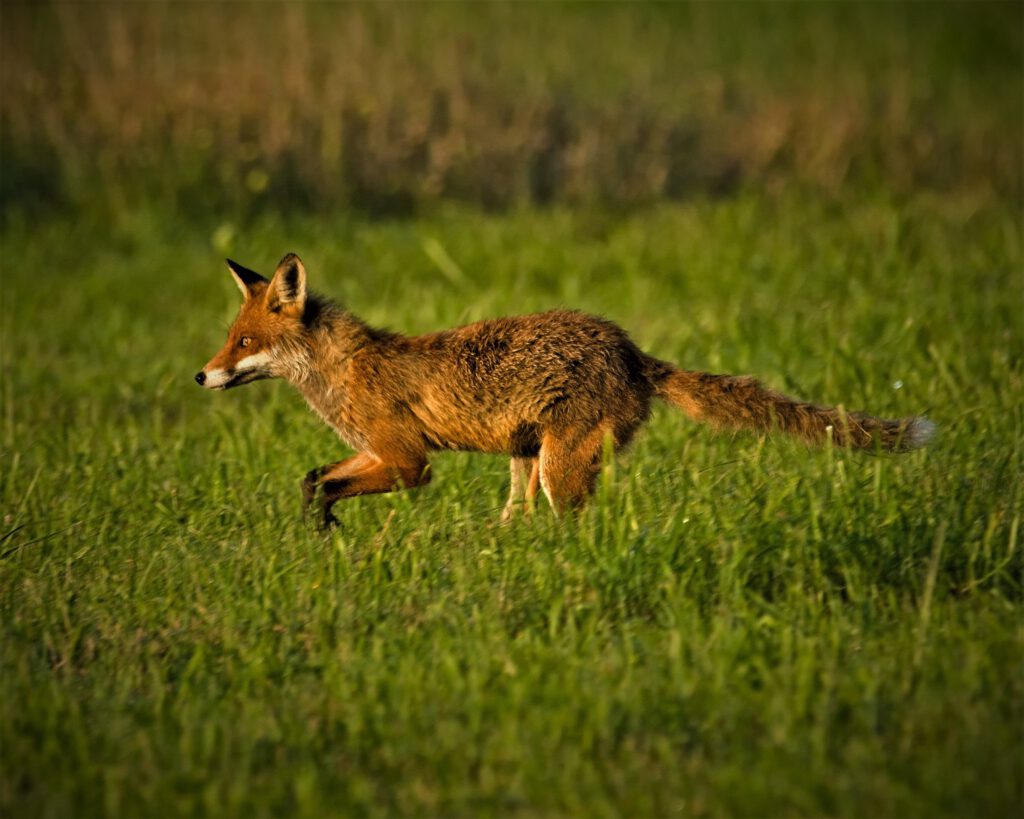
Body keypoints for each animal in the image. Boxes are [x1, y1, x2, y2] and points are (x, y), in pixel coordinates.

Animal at [193, 252, 937, 528]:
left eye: (244, 342)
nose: (200, 374)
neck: (346, 370)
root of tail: (631, 349)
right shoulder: (379, 452)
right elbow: (313, 477)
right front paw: (318, 524)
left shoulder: (408, 461)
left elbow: (335, 481)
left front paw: (325, 522)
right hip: (526, 463)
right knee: (519, 521)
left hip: (558, 469)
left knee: (576, 530)